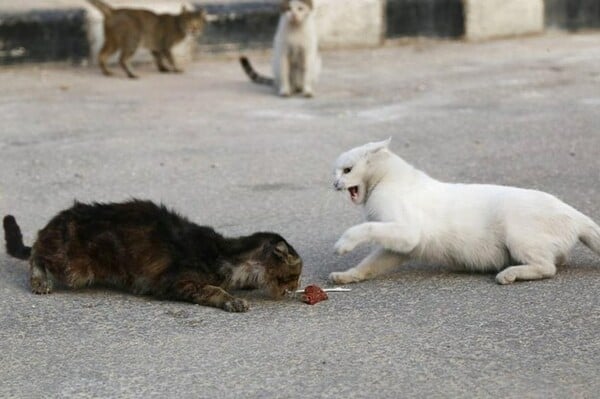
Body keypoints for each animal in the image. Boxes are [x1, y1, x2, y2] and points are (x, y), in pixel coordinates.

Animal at [3, 200, 304, 312]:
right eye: (295, 275)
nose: (297, 287)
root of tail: (56, 222)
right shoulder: (178, 282)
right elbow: (214, 289)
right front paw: (233, 300)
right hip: (75, 267)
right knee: (36, 252)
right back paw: (39, 281)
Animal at [328, 139, 600, 286]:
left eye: (347, 170)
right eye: (336, 172)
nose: (334, 183)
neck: (386, 179)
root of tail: (574, 213)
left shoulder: (407, 232)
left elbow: (364, 228)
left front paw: (343, 244)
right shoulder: (398, 247)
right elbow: (369, 264)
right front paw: (347, 276)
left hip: (518, 236)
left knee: (548, 267)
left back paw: (508, 275)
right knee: (557, 260)